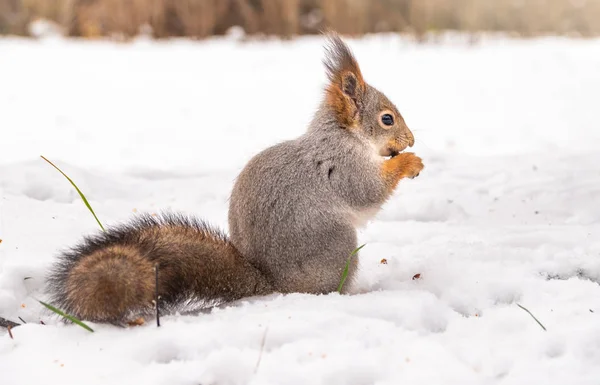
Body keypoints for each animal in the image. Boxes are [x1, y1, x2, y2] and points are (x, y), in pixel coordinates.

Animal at [44, 33, 424, 324]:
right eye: (387, 119)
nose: (411, 140)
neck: (344, 136)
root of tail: (271, 284)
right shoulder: (340, 166)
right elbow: (367, 192)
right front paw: (409, 162)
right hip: (337, 245)